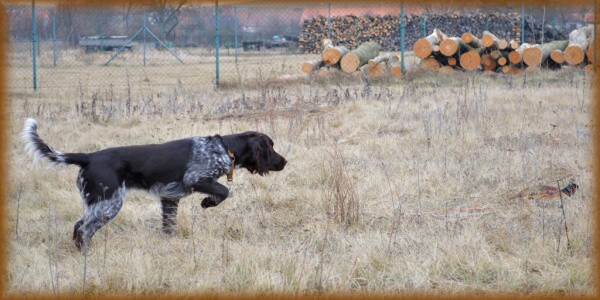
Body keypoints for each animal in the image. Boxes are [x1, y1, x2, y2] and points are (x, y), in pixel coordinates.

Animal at [22, 118, 288, 252]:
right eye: (271, 146)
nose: (284, 162)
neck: (224, 149)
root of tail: (89, 157)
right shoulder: (195, 178)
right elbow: (224, 190)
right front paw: (208, 202)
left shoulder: (170, 198)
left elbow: (169, 226)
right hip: (109, 203)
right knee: (85, 229)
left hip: (96, 202)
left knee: (78, 226)